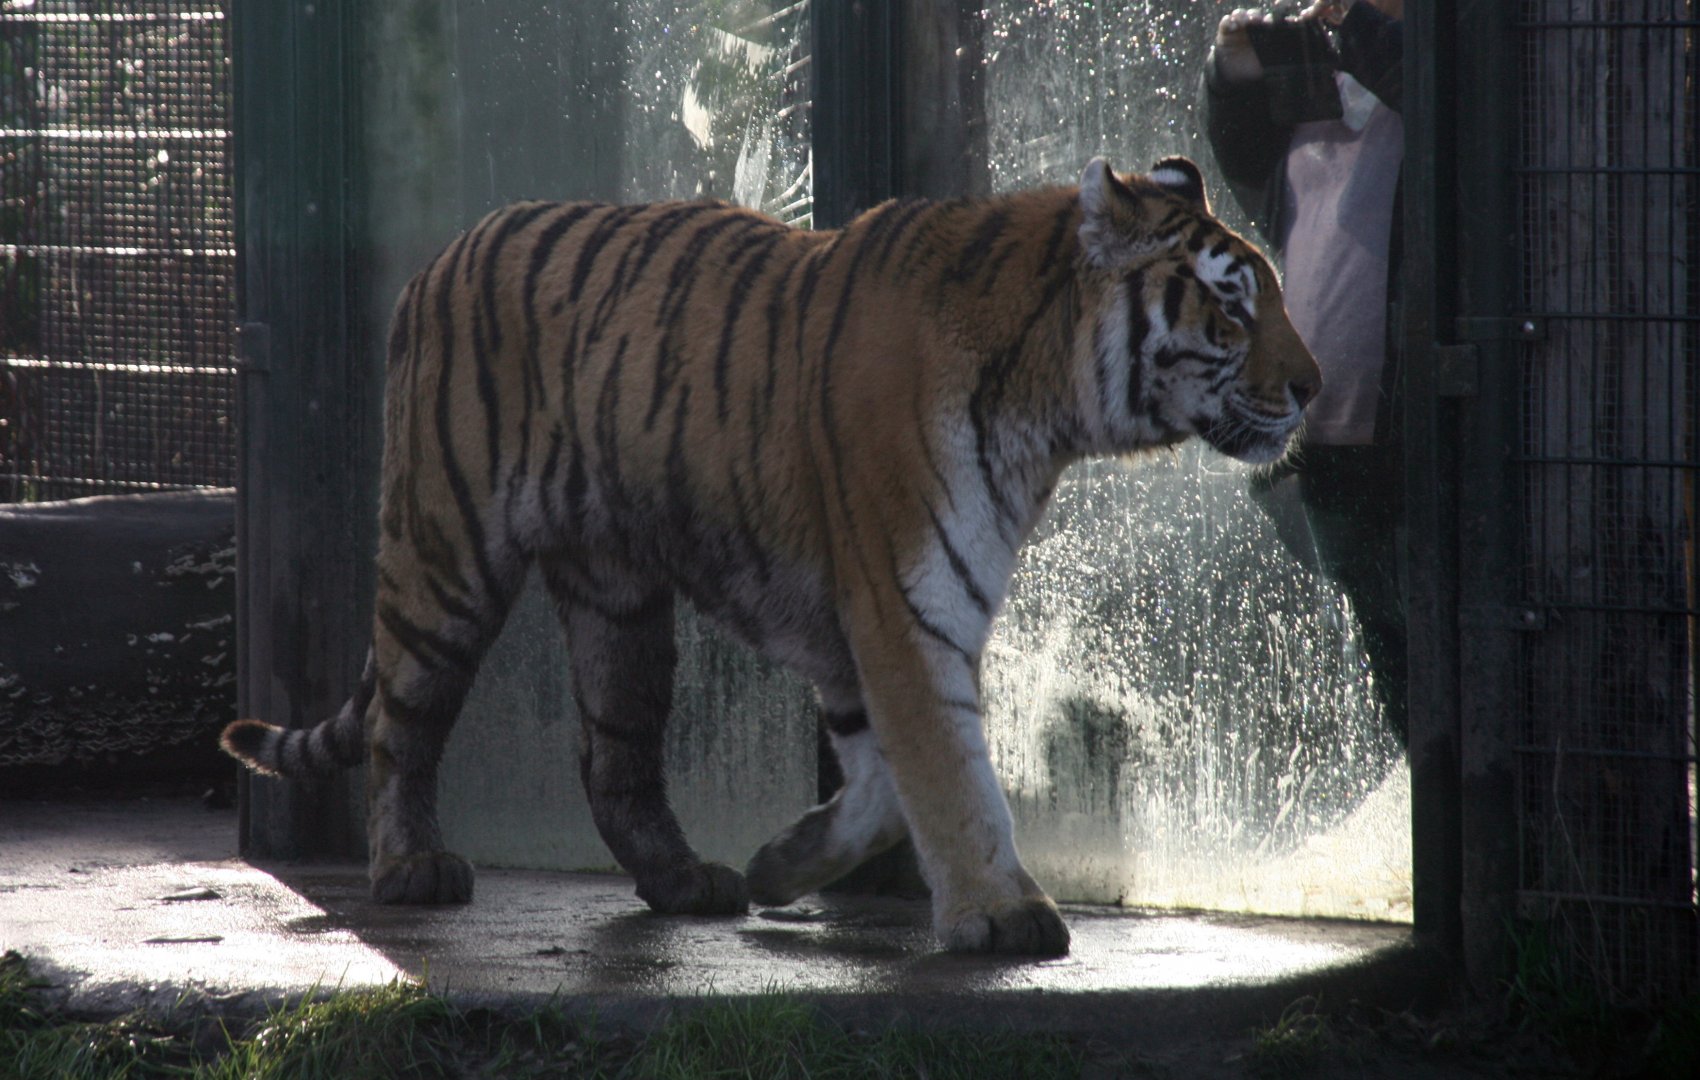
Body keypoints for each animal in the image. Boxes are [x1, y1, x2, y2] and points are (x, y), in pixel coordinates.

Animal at [221, 155, 1319, 957]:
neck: (1049, 405)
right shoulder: (905, 597)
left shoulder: (868, 618)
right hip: (444, 553)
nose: (1311, 387)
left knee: (611, 755)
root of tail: (444, 253)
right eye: (1232, 309)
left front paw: (783, 864)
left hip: (619, 604)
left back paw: (686, 882)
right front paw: (1003, 914)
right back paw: (411, 867)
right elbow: (950, 771)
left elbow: (884, 787)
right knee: (401, 722)